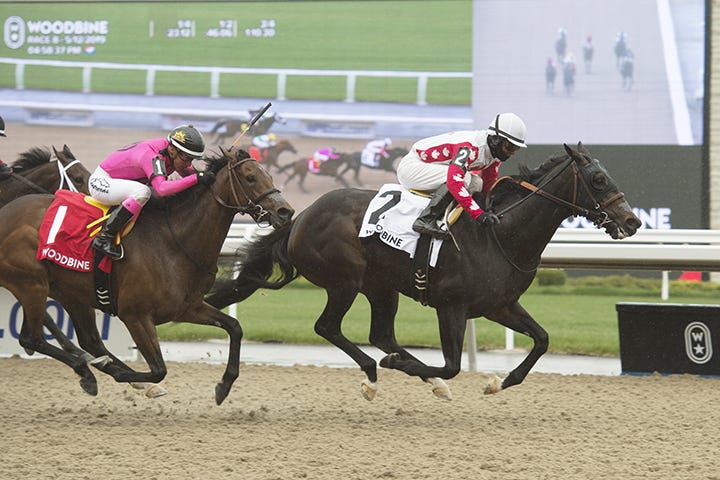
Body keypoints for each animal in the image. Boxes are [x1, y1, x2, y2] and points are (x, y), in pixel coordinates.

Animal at [0, 147, 294, 405]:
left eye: (268, 175)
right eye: (250, 177)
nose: (285, 211)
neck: (174, 242)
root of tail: (6, 213)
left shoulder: (187, 307)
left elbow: (234, 327)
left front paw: (223, 386)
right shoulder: (135, 315)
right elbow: (158, 369)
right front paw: (128, 376)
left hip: (70, 292)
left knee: (90, 341)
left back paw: (96, 371)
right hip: (32, 284)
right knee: (31, 338)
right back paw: (91, 369)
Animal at [205, 143, 641, 400]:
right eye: (598, 179)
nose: (632, 221)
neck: (499, 233)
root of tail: (299, 217)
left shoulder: (499, 305)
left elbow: (542, 340)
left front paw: (498, 381)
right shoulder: (452, 306)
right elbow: (452, 365)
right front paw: (407, 369)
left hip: (381, 286)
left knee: (381, 334)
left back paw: (411, 374)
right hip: (345, 279)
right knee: (328, 327)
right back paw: (374, 372)